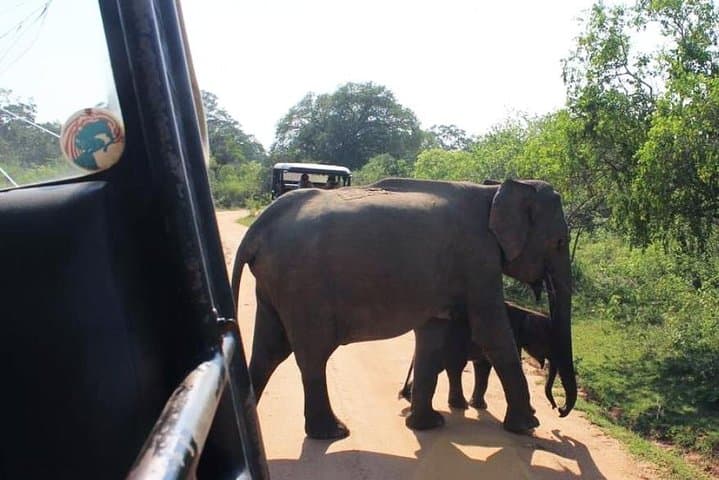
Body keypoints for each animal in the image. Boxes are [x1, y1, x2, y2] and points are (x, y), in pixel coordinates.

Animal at [398, 301, 552, 412]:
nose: (555, 407)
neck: (527, 312)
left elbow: (483, 365)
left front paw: (479, 406)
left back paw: (407, 396)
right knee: (448, 365)